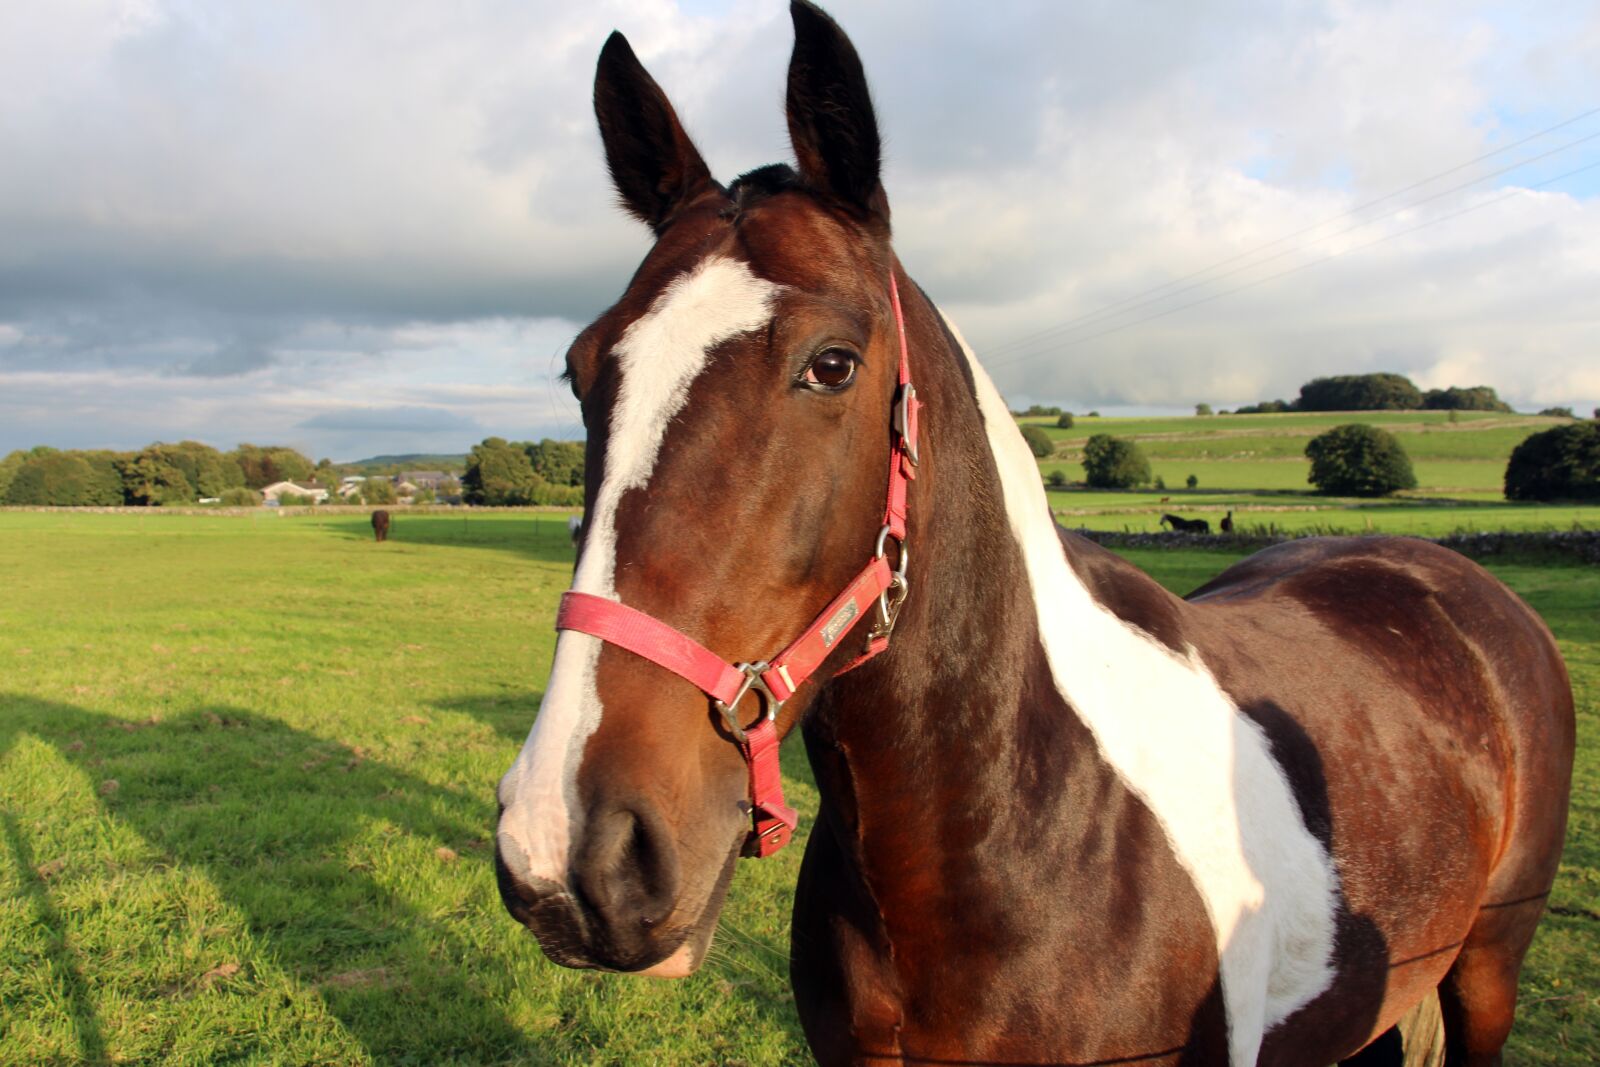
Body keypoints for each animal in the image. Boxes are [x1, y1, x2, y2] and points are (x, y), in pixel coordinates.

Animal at [493, 5, 1574, 1064]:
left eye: (832, 364)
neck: (1021, 837)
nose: (571, 850)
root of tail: (1450, 577)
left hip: (1486, 968)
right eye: (582, 368)